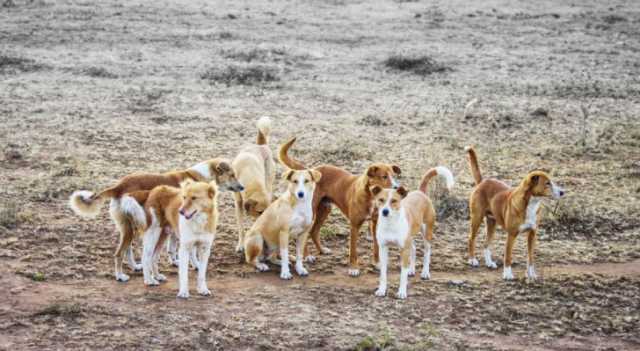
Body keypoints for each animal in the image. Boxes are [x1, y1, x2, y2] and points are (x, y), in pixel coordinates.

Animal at [69, 160, 241, 284]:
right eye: (232, 175)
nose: (242, 187)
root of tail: (118, 186)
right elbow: (190, 251)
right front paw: (196, 264)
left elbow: (171, 247)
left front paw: (174, 261)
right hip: (136, 227)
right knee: (119, 253)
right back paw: (121, 276)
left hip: (131, 227)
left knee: (127, 250)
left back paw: (135, 266)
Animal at [234, 117, 276, 253]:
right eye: (259, 212)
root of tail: (261, 145)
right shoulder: (238, 203)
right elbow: (241, 227)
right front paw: (240, 245)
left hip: (269, 181)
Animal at [278, 138, 400, 278]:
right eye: (384, 176)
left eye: (394, 176)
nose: (397, 187)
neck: (370, 196)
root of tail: (310, 170)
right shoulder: (354, 226)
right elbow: (353, 250)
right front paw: (353, 268)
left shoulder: (375, 224)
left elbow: (376, 247)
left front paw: (377, 263)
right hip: (312, 212)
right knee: (306, 234)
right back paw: (307, 256)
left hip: (325, 209)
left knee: (314, 231)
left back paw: (322, 250)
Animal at [370, 167, 456, 300]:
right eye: (381, 200)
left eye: (394, 201)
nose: (385, 211)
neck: (390, 224)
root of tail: (421, 192)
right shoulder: (383, 248)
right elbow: (383, 274)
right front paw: (382, 290)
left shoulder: (404, 249)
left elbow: (402, 275)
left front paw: (401, 292)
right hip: (410, 237)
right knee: (414, 249)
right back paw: (411, 270)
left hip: (427, 233)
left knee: (427, 252)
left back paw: (425, 272)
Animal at [464, 147, 564, 282]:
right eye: (547, 183)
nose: (563, 192)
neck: (531, 204)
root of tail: (483, 182)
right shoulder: (511, 235)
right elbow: (508, 256)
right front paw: (507, 274)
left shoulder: (532, 234)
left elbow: (530, 257)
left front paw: (531, 274)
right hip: (477, 218)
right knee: (471, 238)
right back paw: (472, 260)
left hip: (492, 223)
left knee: (486, 244)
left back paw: (489, 262)